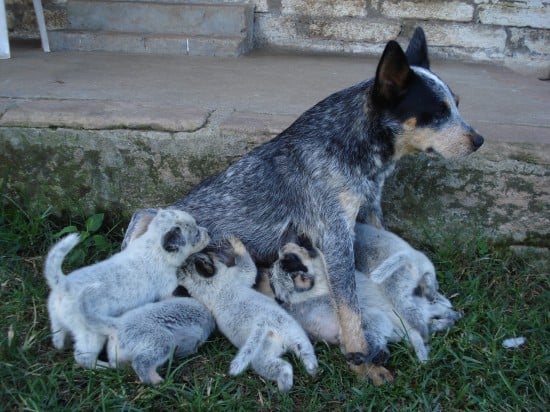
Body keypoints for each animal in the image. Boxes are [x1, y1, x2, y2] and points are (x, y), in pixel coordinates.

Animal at [43, 208, 210, 368]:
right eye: (196, 234)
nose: (208, 232)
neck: (153, 247)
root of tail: (63, 285)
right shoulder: (168, 288)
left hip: (57, 321)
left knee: (58, 340)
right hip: (91, 334)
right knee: (83, 358)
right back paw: (105, 367)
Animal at [181, 237, 320, 392]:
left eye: (209, 254)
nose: (186, 258)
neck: (215, 284)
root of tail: (265, 325)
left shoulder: (230, 278)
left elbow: (247, 266)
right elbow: (248, 267)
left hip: (277, 344)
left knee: (292, 360)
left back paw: (295, 380)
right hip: (282, 340)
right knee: (295, 358)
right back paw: (301, 377)